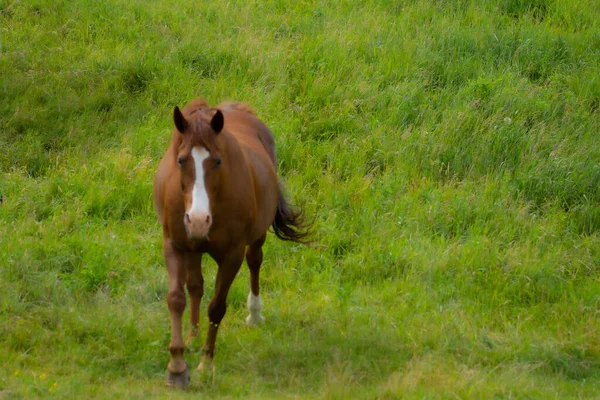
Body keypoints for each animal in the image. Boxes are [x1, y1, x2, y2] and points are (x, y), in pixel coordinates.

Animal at [152, 98, 312, 390]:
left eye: (217, 161)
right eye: (181, 160)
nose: (198, 220)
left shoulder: (232, 254)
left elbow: (217, 307)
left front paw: (206, 364)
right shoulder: (174, 246)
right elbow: (177, 299)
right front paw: (177, 367)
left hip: (255, 238)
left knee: (255, 261)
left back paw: (254, 314)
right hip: (193, 248)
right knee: (195, 286)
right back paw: (192, 336)